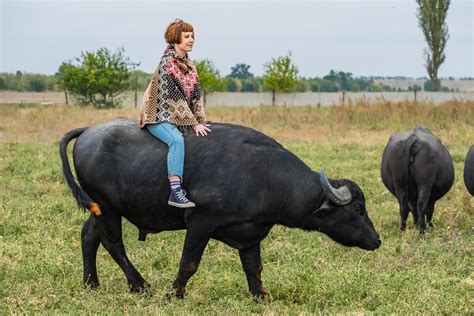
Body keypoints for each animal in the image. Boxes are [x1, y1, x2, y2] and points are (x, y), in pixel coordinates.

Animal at [60, 117, 382, 298]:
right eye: (357, 209)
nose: (376, 240)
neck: (261, 175)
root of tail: (90, 130)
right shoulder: (200, 224)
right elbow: (189, 263)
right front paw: (174, 293)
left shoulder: (250, 233)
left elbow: (254, 268)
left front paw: (260, 296)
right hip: (107, 207)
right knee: (114, 243)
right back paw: (139, 285)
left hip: (98, 208)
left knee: (89, 236)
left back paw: (91, 283)